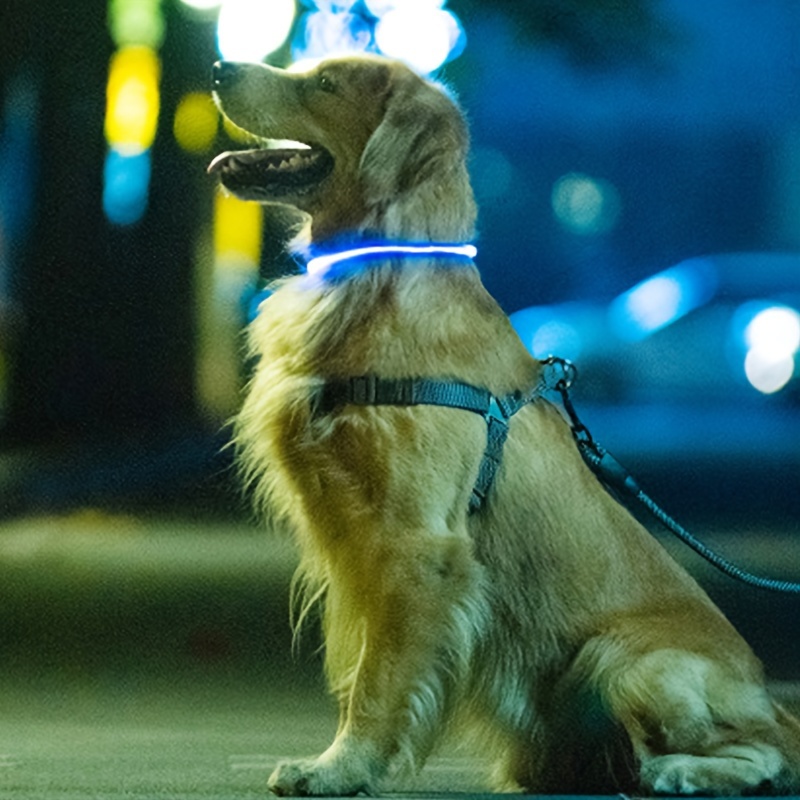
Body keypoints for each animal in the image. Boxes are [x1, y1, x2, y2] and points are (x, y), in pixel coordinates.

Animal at [211, 54, 800, 792]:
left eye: (323, 84)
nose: (217, 66)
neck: (378, 276)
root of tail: (776, 703)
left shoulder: (418, 545)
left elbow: (377, 679)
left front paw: (341, 768)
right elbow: (361, 674)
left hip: (624, 657)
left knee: (766, 755)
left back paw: (678, 772)